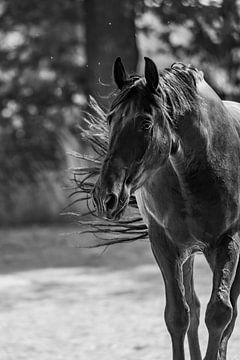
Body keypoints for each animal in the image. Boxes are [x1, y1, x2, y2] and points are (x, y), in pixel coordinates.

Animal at [91, 57, 240, 360]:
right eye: (110, 118)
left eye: (146, 123)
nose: (104, 196)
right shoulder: (165, 245)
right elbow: (178, 315)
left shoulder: (228, 241)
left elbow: (220, 313)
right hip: (190, 254)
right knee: (194, 308)